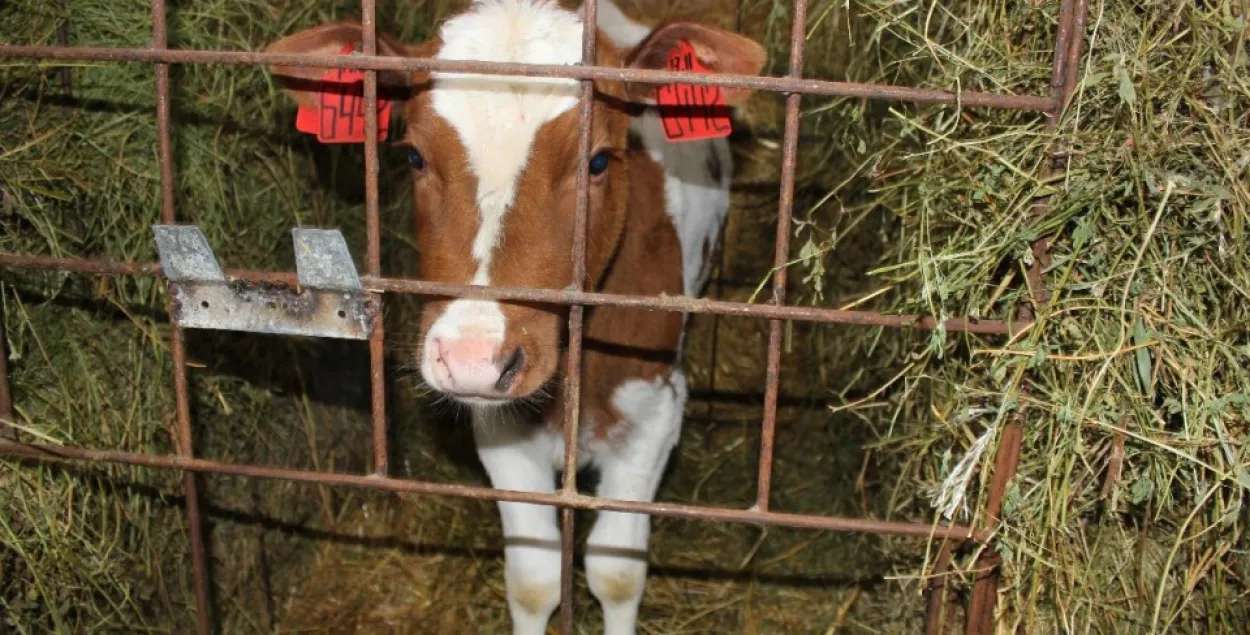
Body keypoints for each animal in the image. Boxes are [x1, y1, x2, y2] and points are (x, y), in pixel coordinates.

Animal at [263, 2, 760, 632]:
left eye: (598, 160)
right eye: (414, 156)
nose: (472, 358)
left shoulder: (655, 411)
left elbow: (616, 573)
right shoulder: (498, 426)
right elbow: (533, 579)